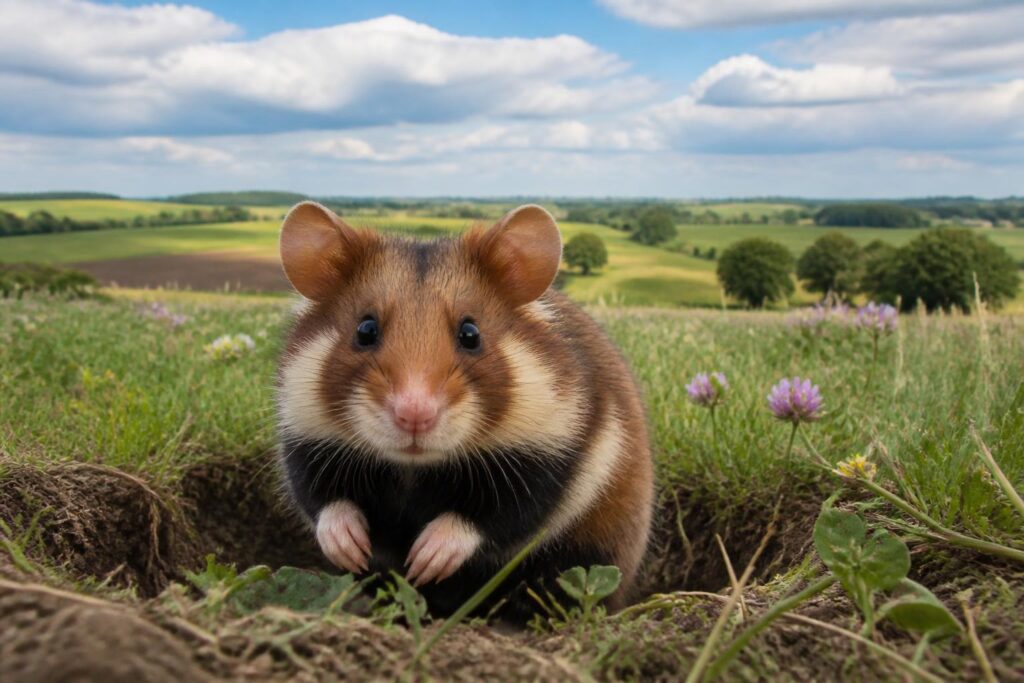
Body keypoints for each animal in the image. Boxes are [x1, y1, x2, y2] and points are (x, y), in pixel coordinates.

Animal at [275, 201, 653, 619]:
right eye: (365, 330)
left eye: (471, 334)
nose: (414, 416)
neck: (413, 468)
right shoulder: (306, 438)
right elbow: (324, 500)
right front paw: (351, 549)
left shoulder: (547, 460)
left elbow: (489, 518)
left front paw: (425, 561)